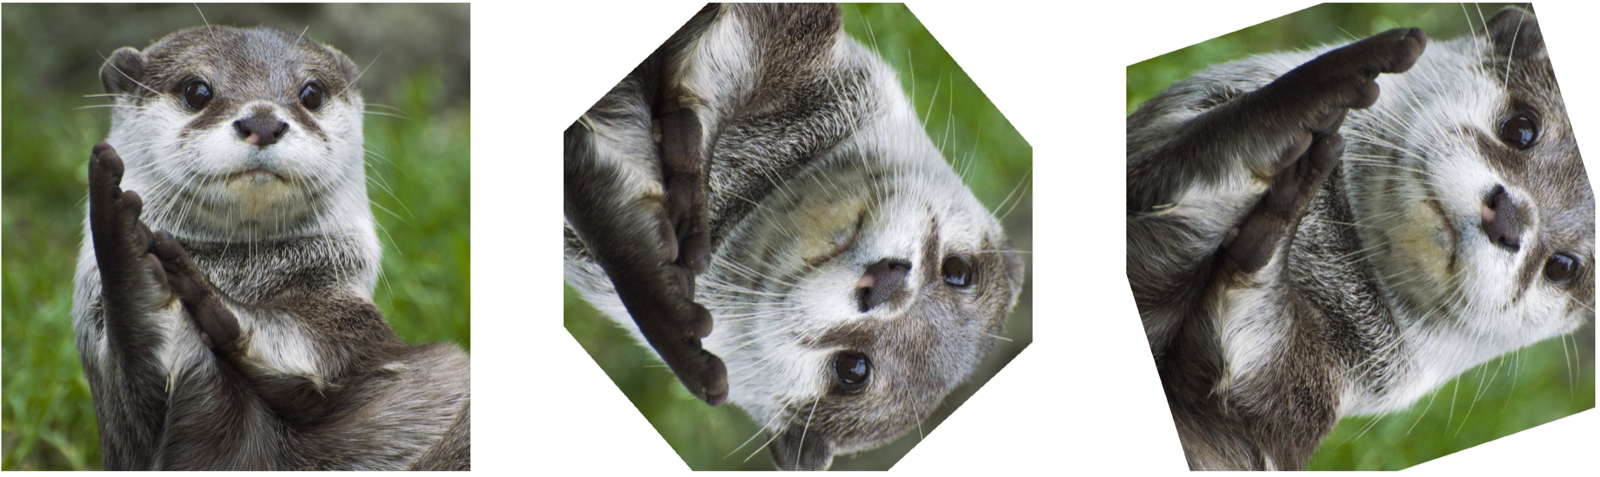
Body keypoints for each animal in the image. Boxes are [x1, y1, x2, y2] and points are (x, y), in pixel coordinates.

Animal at [72, 26, 469, 470]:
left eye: (311, 94)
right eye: (197, 91)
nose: (262, 121)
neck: (246, 275)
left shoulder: (350, 320)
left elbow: (320, 346)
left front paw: (206, 297)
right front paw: (127, 248)